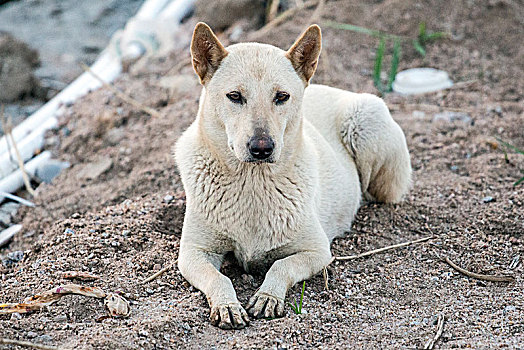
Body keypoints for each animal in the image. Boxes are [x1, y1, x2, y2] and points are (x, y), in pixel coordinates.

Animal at [174, 21, 412, 328]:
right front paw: (227, 304)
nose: (261, 148)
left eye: (282, 97)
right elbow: (219, 278)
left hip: (365, 121)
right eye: (235, 97)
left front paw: (268, 296)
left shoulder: (316, 252)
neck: (253, 181)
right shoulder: (193, 253)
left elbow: (280, 265)